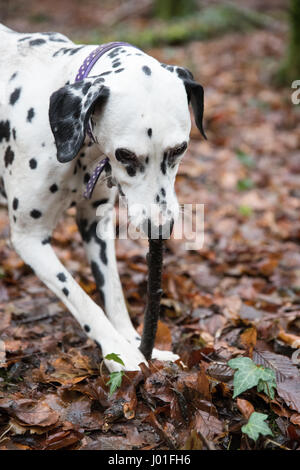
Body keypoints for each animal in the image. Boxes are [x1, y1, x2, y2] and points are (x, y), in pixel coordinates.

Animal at [0, 24, 205, 370]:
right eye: (125, 154)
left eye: (180, 149)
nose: (160, 228)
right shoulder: (30, 239)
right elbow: (82, 299)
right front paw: (120, 352)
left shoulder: (95, 224)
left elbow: (114, 294)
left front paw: (135, 343)